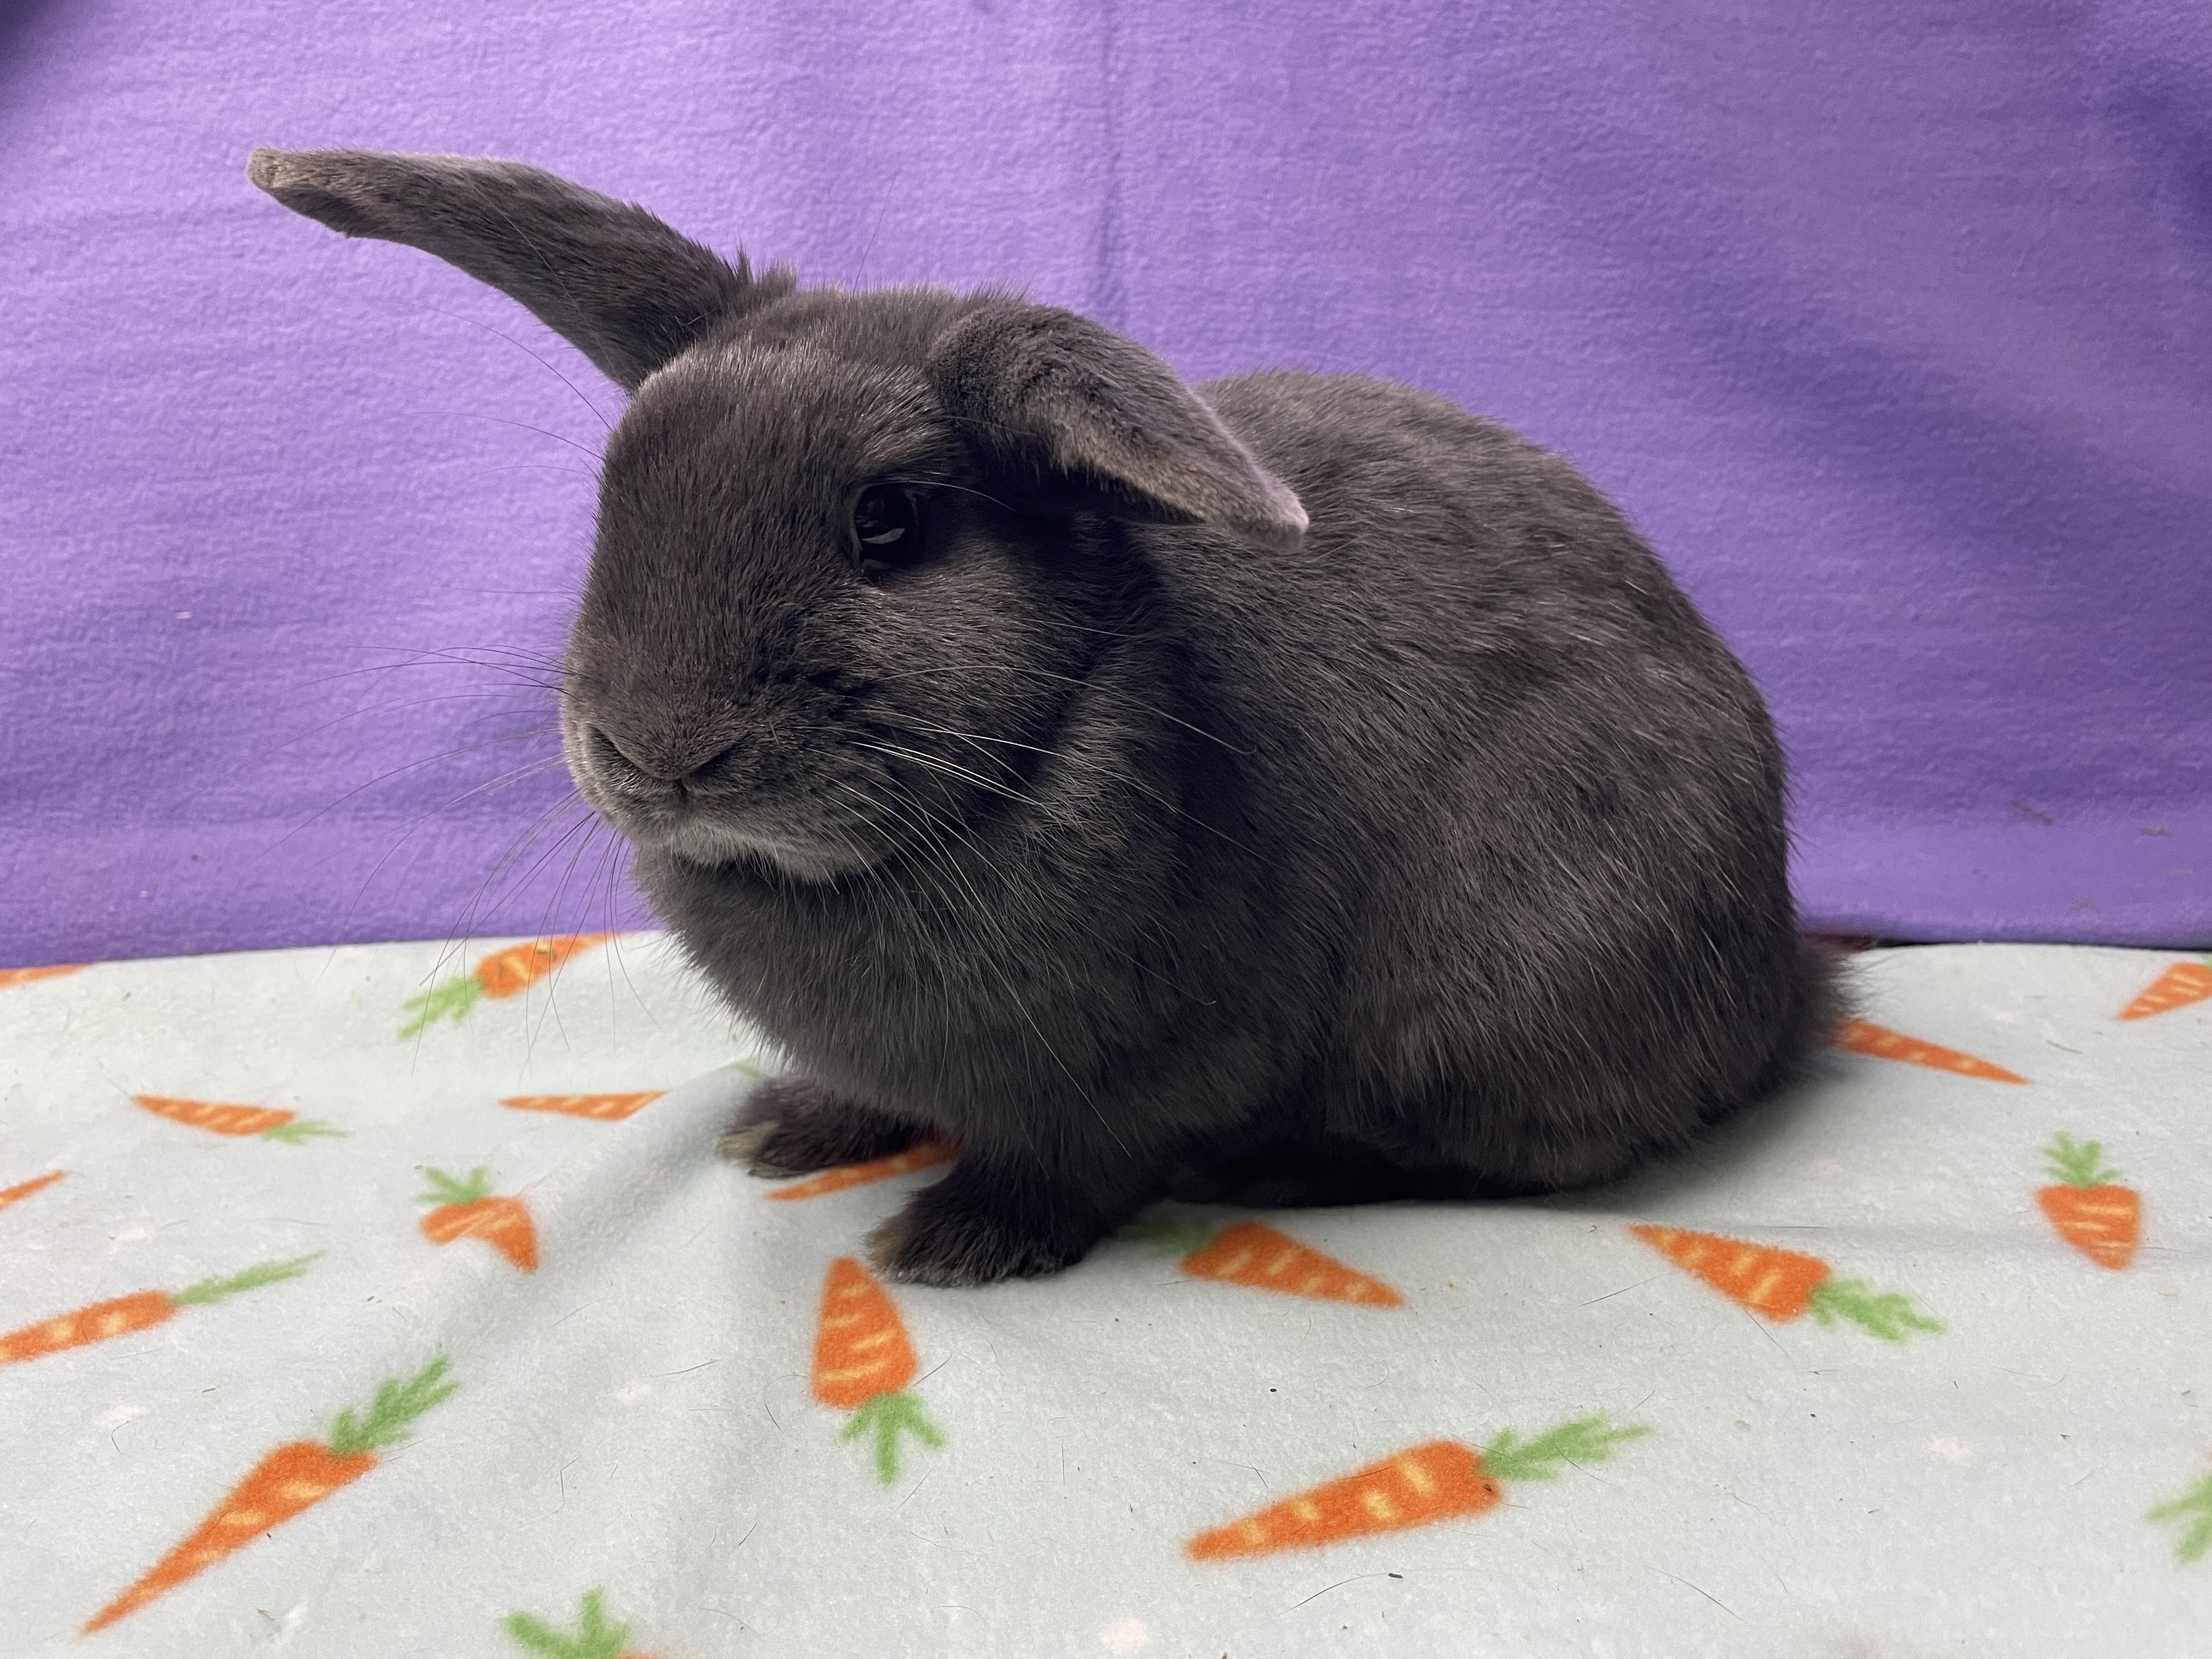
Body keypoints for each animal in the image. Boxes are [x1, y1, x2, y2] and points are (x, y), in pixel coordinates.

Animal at [249, 148, 1838, 1286]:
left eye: (890, 524)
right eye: (613, 498)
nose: (655, 753)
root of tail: (1782, 976)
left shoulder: (1140, 1075)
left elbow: (1072, 1160)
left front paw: (952, 1243)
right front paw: (791, 1130)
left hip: (1499, 998)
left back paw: (1271, 1173)